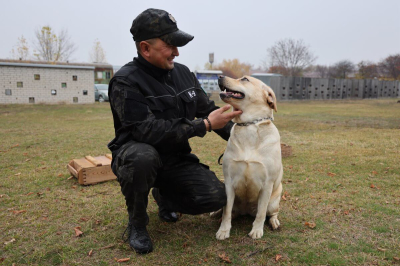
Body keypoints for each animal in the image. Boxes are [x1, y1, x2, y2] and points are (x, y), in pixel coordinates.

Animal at [216, 76, 282, 240]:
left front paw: (257, 230)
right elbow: (227, 211)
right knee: (230, 211)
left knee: (271, 213)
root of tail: (245, 211)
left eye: (244, 79)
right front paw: (223, 230)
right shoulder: (228, 181)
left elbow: (261, 213)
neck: (249, 125)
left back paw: (274, 222)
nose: (220, 76)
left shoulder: (267, 184)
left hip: (274, 200)